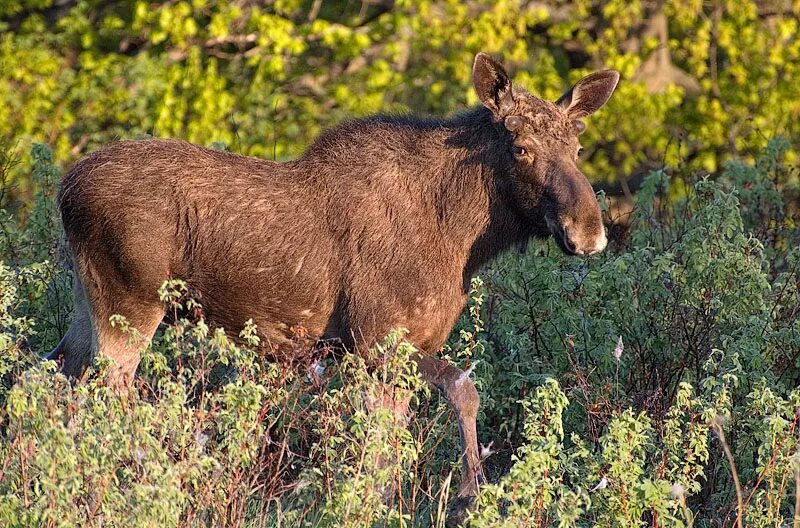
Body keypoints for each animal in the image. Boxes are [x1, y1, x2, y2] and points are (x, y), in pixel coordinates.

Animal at [50, 52, 620, 508]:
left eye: (578, 148)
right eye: (521, 147)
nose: (589, 232)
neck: (463, 241)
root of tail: (64, 189)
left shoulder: (388, 351)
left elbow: (389, 452)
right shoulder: (376, 341)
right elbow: (460, 390)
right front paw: (468, 494)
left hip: (87, 303)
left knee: (53, 377)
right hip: (129, 305)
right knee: (106, 399)